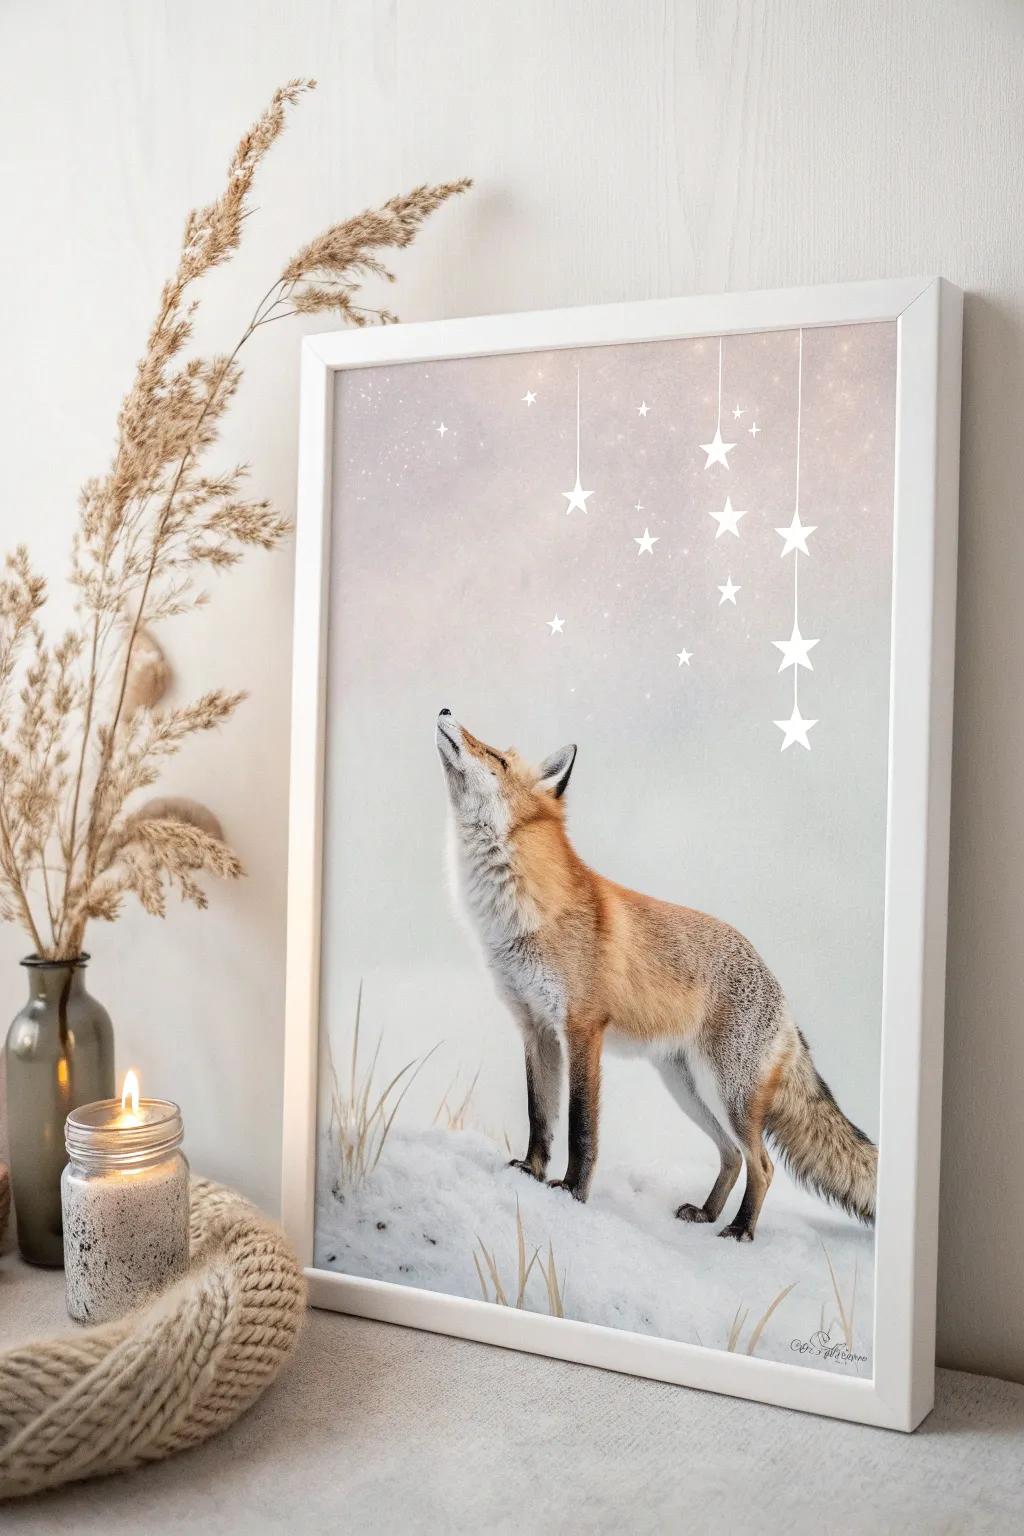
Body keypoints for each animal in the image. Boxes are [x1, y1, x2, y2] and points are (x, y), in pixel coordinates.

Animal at [435, 709, 877, 1242]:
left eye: (496, 758)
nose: (445, 711)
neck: (517, 917)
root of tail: (784, 999)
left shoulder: (582, 1028)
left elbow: (582, 1129)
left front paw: (572, 1193)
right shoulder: (534, 1027)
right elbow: (539, 1115)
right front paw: (530, 1172)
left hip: (727, 1093)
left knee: (763, 1164)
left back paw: (739, 1230)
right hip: (687, 1089)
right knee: (732, 1156)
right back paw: (707, 1213)